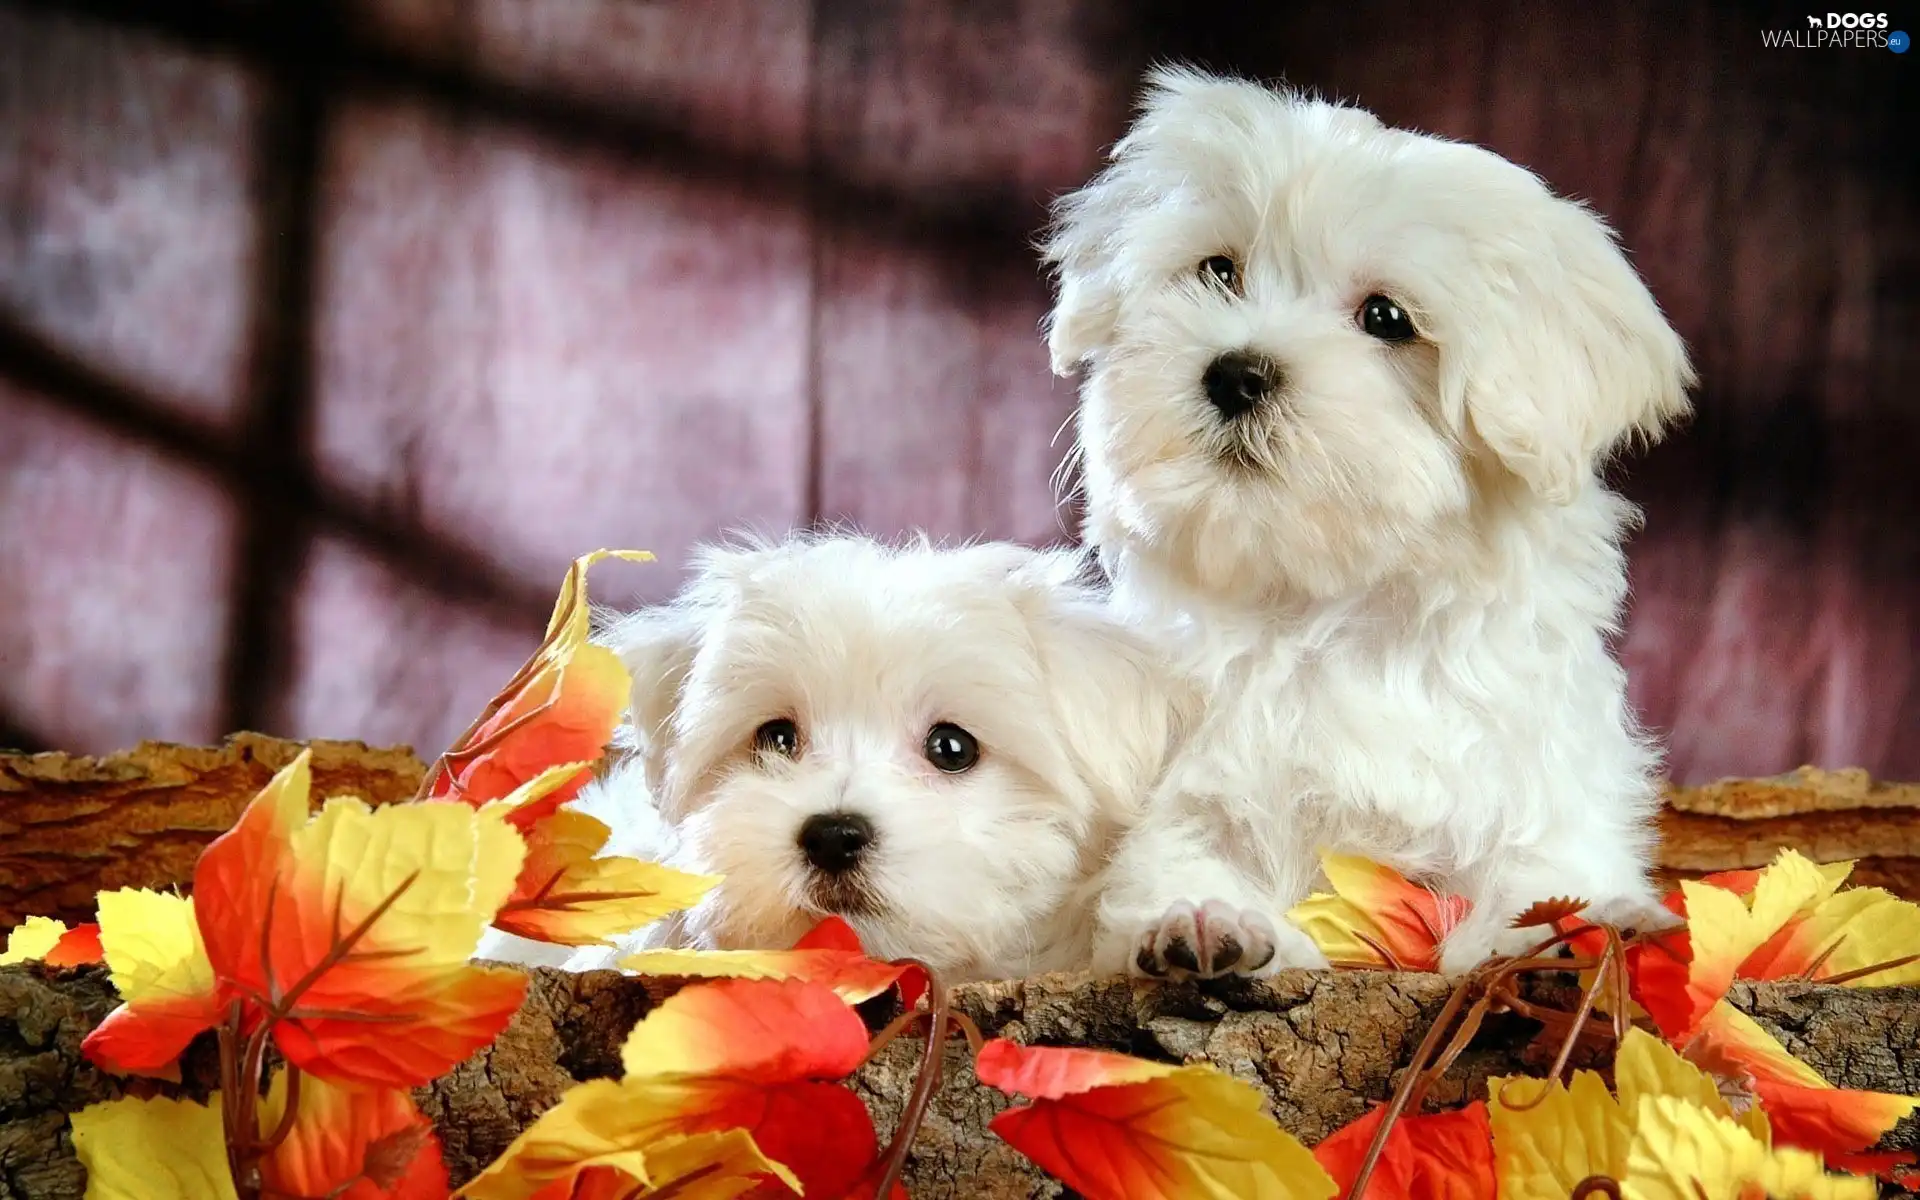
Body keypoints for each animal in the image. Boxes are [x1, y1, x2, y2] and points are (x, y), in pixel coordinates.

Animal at [1052, 70, 1697, 979]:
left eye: (1387, 319)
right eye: (1218, 270)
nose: (1236, 373)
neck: (1335, 610)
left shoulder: (1538, 773)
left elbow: (1545, 866)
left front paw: (1569, 927)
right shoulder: (1183, 780)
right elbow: (1174, 853)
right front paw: (1203, 918)